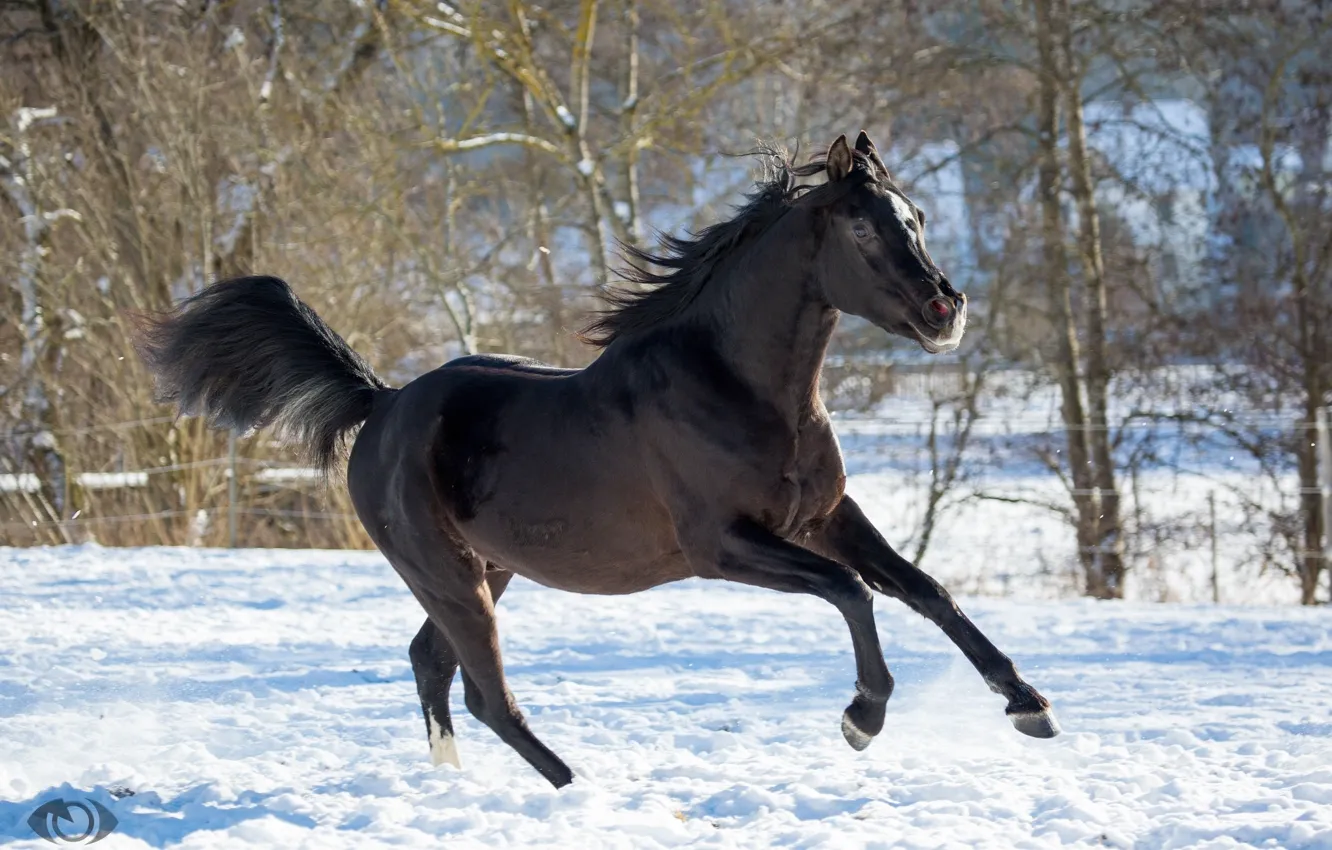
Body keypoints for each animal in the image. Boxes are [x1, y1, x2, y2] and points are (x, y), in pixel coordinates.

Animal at [135, 132, 1059, 789]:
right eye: (867, 225)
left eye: (920, 219)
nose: (946, 311)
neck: (741, 388)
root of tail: (384, 403)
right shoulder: (723, 545)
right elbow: (853, 593)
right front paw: (862, 718)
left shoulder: (825, 516)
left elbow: (926, 589)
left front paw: (1030, 706)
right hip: (446, 573)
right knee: (487, 693)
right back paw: (576, 790)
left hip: (489, 567)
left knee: (432, 665)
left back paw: (453, 785)